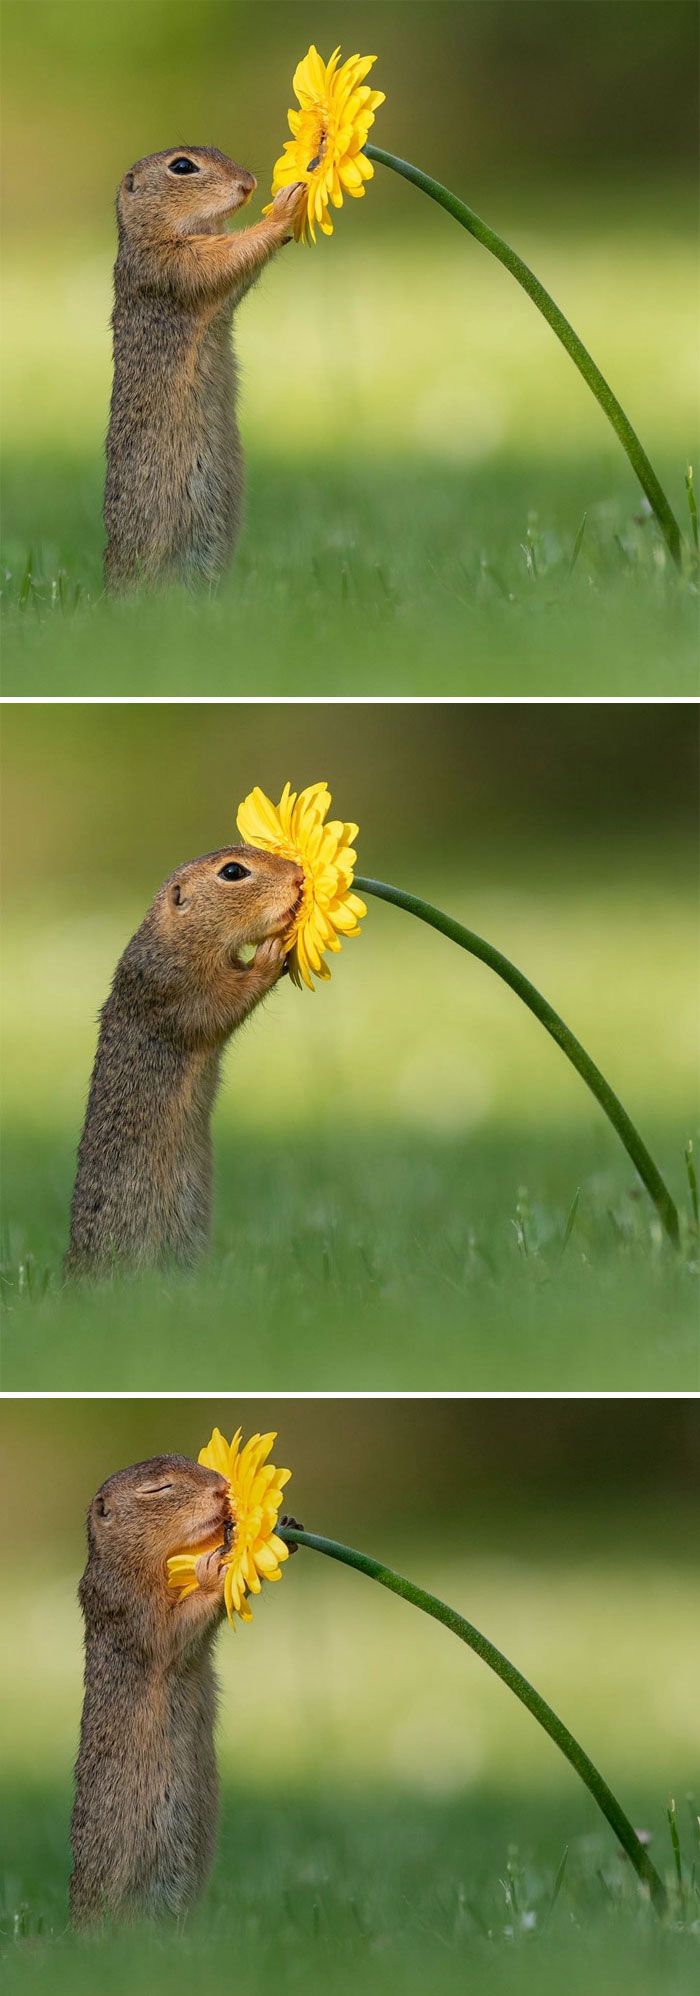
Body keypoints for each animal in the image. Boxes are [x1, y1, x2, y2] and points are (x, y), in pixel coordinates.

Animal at [66, 846, 305, 1277]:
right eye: (233, 872)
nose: (298, 876)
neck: (177, 937)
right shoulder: (177, 988)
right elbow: (221, 1005)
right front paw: (270, 953)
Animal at [103, 146, 305, 586]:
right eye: (182, 166)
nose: (248, 183)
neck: (151, 233)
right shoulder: (174, 263)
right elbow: (227, 257)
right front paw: (284, 208)